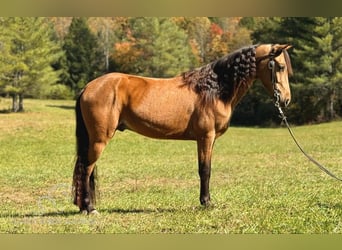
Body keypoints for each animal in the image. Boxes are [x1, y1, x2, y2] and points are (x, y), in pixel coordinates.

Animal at [71, 44, 292, 214]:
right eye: (280, 67)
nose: (286, 100)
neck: (213, 89)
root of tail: (88, 87)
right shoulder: (205, 137)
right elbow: (205, 170)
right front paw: (206, 202)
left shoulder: (209, 140)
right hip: (99, 140)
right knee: (87, 169)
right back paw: (89, 208)